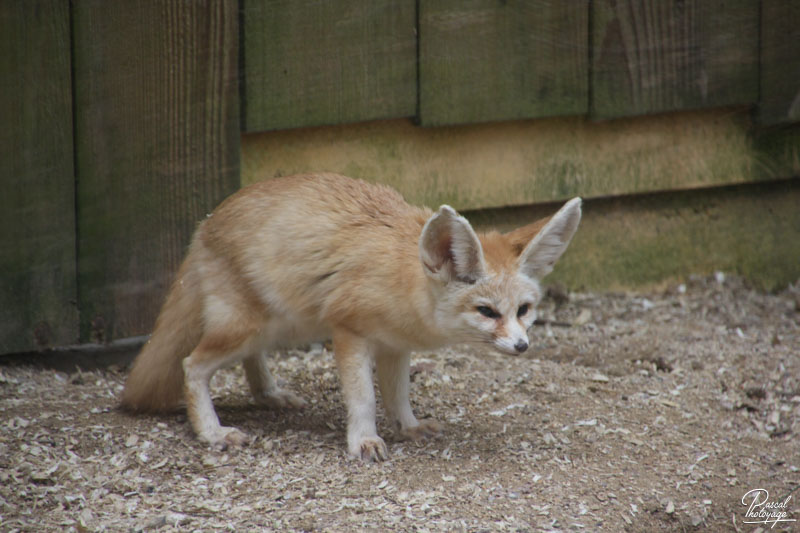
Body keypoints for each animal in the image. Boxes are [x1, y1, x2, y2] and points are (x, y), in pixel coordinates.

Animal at [120, 172, 580, 460]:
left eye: (524, 310)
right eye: (487, 312)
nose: (521, 345)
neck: (402, 280)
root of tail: (205, 223)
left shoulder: (397, 346)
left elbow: (398, 395)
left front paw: (409, 426)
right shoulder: (349, 333)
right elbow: (364, 397)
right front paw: (364, 441)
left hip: (280, 326)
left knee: (252, 358)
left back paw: (268, 394)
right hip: (248, 329)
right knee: (191, 365)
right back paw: (212, 431)